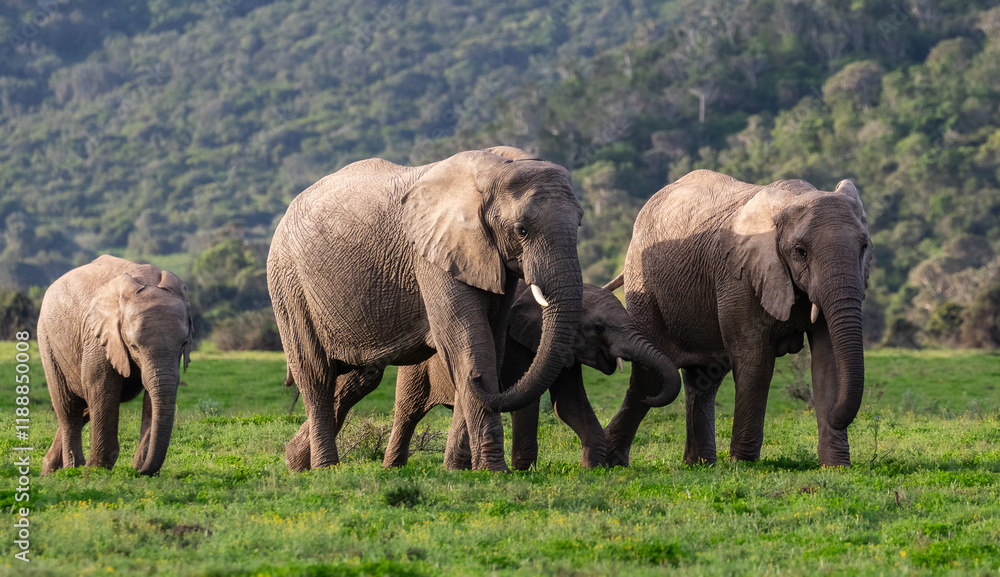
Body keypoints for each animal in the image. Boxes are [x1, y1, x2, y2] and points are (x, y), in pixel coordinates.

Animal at [38, 255, 193, 476]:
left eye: (184, 344)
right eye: (134, 346)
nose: (140, 472)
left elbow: (152, 394)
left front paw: (140, 467)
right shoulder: (98, 338)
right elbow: (101, 389)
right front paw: (95, 469)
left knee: (84, 408)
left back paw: (50, 470)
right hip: (47, 339)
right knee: (69, 409)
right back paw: (73, 468)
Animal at [270, 146, 649, 472]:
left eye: (580, 224)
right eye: (521, 230)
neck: (493, 169)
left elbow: (491, 344)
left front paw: (468, 468)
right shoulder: (432, 254)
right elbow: (466, 340)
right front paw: (494, 471)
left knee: (357, 378)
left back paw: (296, 462)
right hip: (289, 285)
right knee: (317, 374)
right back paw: (325, 469)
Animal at [382, 282, 681, 470]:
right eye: (598, 327)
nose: (650, 395)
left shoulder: (565, 352)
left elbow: (569, 405)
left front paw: (594, 469)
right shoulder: (517, 345)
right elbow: (528, 401)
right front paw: (524, 471)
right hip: (416, 368)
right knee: (409, 411)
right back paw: (393, 468)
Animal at [603, 170, 871, 468]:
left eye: (864, 248)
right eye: (800, 252)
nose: (838, 417)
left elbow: (828, 360)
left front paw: (836, 466)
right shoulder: (739, 277)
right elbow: (755, 360)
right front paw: (742, 465)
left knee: (703, 378)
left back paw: (700, 464)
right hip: (642, 281)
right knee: (648, 378)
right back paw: (608, 463)